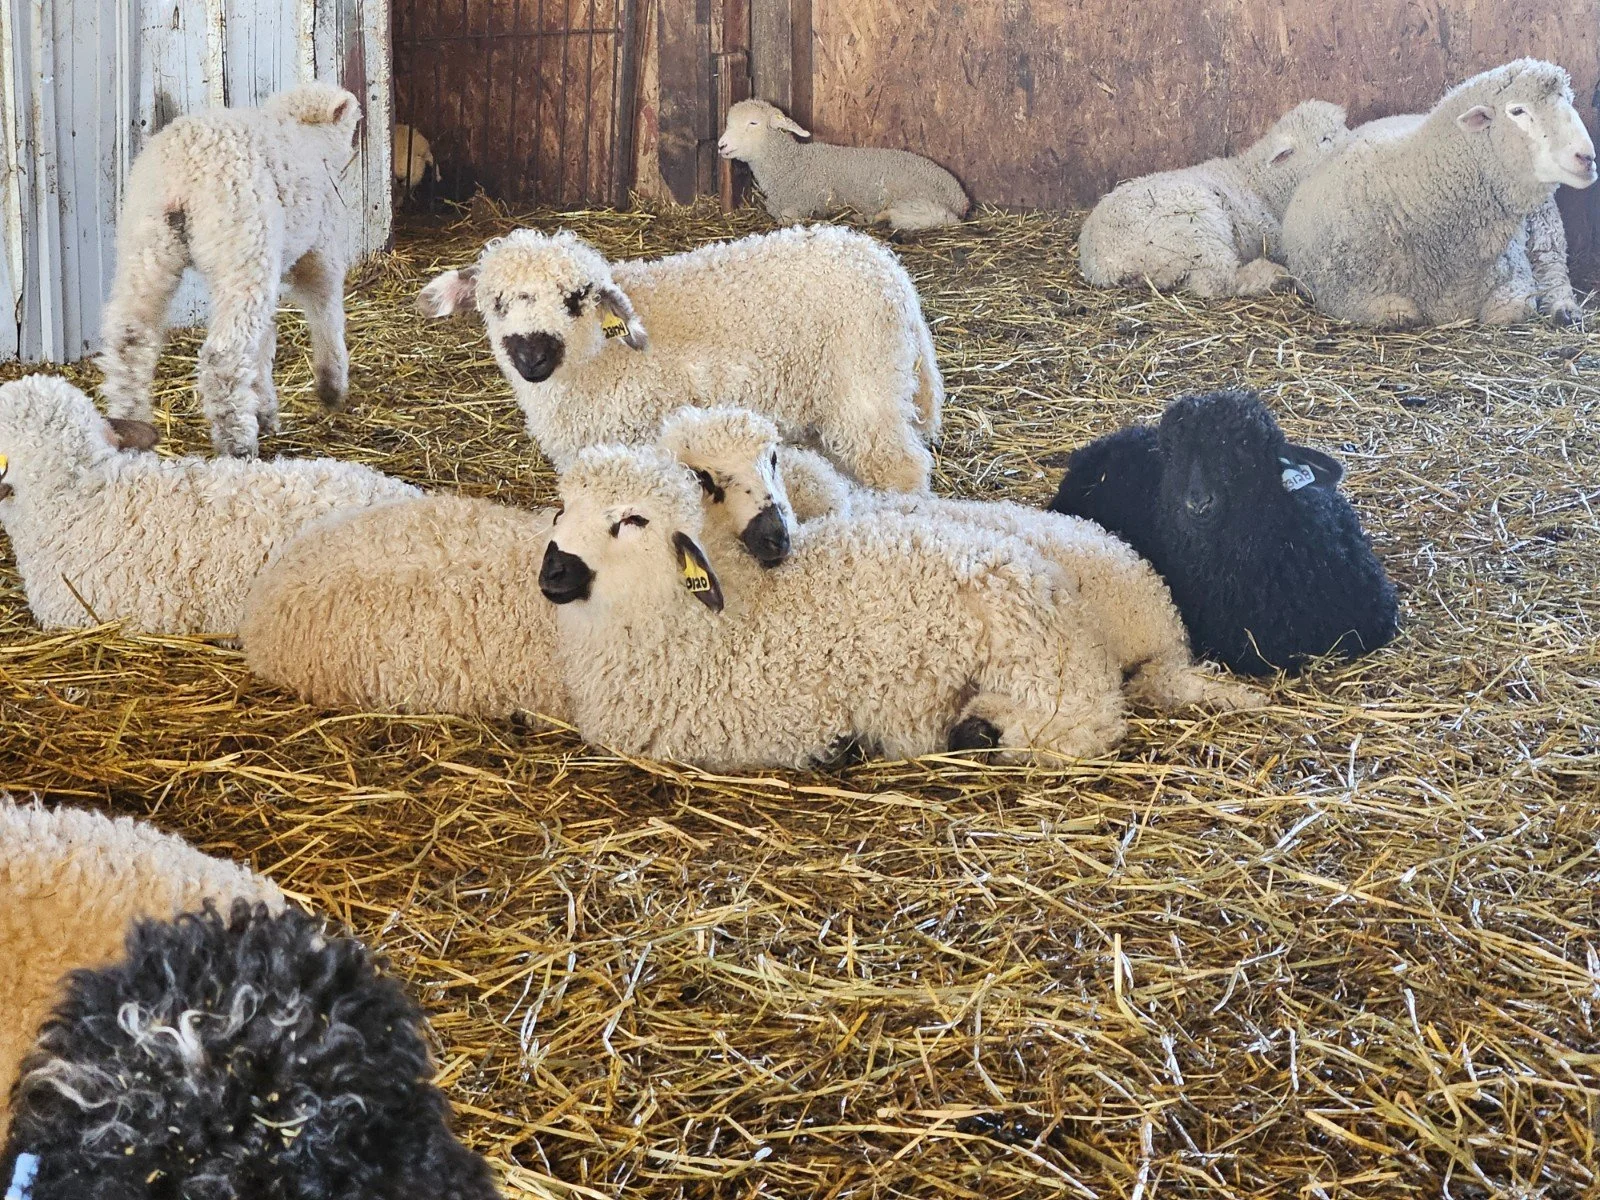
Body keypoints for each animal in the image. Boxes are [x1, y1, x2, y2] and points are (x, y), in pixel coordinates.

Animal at [97, 82, 363, 458]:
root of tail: (181, 175)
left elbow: (266, 339)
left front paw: (265, 408)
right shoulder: (320, 248)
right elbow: (325, 308)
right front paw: (331, 387)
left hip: (147, 247)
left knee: (130, 338)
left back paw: (132, 425)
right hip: (243, 248)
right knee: (224, 355)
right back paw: (237, 442)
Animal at [415, 223, 944, 491]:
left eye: (577, 298)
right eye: (496, 302)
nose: (533, 358)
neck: (597, 359)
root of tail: (889, 268)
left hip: (866, 383)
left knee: (899, 466)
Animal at [537, 444, 1130, 769]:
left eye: (632, 519)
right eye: (563, 507)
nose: (553, 571)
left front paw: (839, 747)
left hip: (1034, 658)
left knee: (1078, 722)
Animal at [715, 99, 970, 232]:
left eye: (753, 123)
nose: (721, 145)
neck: (791, 163)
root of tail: (961, 197)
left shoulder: (806, 201)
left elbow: (785, 218)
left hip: (920, 203)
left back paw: (867, 218)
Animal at [1077, 101, 1350, 297]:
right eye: (1325, 138)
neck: (1260, 181)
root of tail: (1103, 263)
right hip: (1193, 231)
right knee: (1218, 282)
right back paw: (1275, 276)